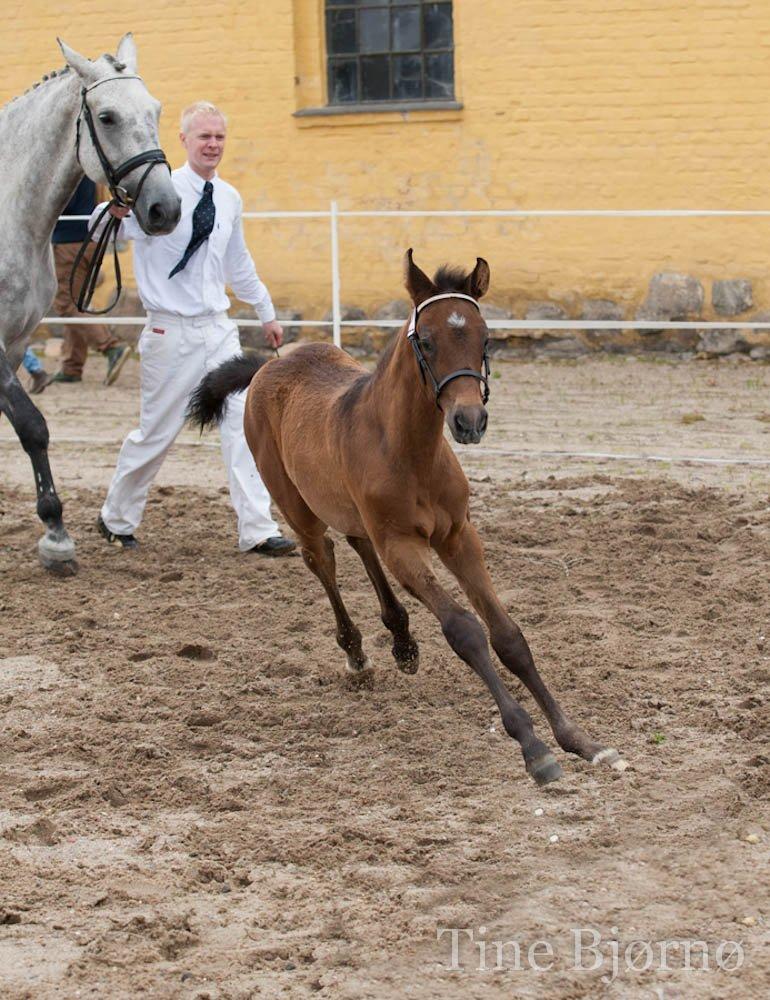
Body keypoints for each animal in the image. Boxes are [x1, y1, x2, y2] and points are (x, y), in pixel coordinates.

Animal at [0, 35, 178, 576]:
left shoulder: (15, 343)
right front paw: (56, 537)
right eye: (106, 117)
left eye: (155, 110)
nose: (165, 209)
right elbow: (33, 427)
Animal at [188, 250, 624, 780]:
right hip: (297, 506)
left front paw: (581, 740)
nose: (469, 421)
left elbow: (508, 636)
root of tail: (268, 366)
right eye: (428, 341)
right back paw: (356, 653)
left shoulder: (458, 535)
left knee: (358, 543)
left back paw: (401, 639)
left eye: (485, 338)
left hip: (351, 509)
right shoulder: (402, 545)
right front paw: (533, 747)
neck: (410, 451)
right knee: (323, 559)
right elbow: (465, 631)